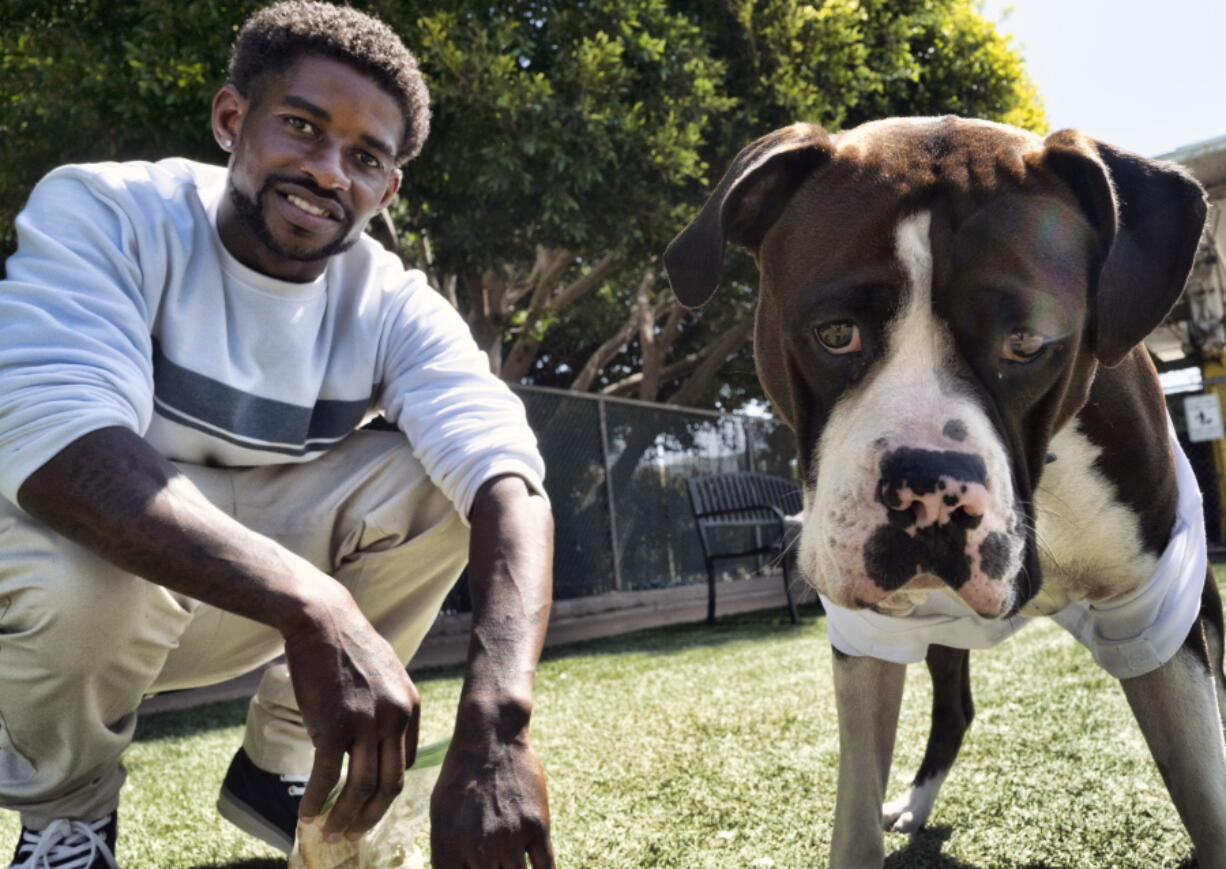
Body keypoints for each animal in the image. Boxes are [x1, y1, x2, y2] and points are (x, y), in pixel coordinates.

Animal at [666, 117, 1226, 867]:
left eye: (1028, 342)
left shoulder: (1154, 615)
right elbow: (855, 810)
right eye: (836, 333)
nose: (931, 488)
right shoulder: (867, 633)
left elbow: (1203, 787)